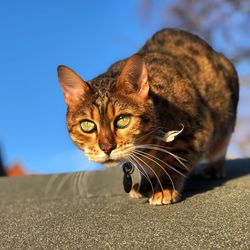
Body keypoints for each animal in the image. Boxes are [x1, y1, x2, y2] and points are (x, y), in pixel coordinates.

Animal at [56, 28, 238, 205]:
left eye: (122, 120)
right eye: (87, 125)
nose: (107, 148)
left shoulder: (197, 132)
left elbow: (176, 162)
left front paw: (164, 188)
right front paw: (145, 184)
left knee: (220, 146)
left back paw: (215, 168)